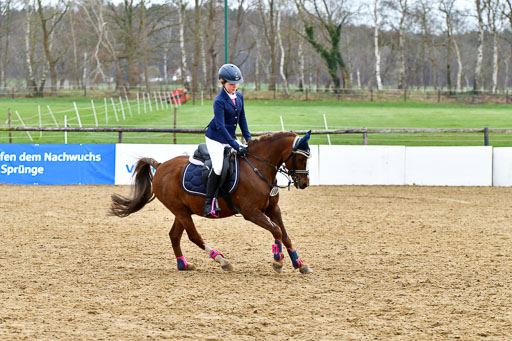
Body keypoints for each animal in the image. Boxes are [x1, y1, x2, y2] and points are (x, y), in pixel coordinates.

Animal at [111, 130, 312, 274]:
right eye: (301, 158)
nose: (304, 183)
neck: (258, 168)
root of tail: (160, 165)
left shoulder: (273, 208)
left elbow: (284, 234)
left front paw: (299, 263)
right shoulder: (251, 212)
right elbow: (276, 230)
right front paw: (278, 261)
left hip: (182, 211)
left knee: (174, 236)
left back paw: (184, 265)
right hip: (180, 210)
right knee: (194, 236)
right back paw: (222, 261)